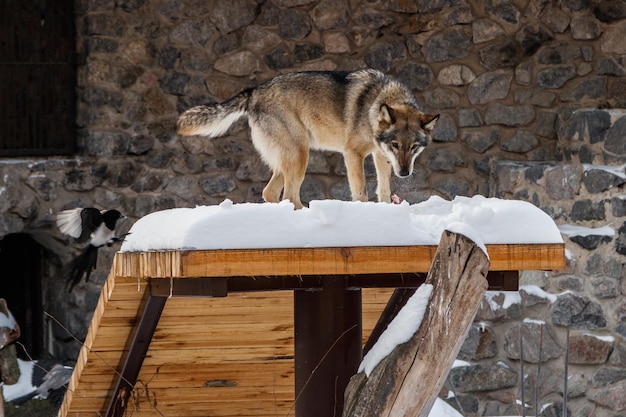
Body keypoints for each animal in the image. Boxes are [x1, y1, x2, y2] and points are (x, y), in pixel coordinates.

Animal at [176, 70, 438, 211]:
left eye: (413, 147)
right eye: (396, 145)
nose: (404, 173)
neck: (375, 106)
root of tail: (254, 91)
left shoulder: (380, 156)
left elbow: (383, 189)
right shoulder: (353, 153)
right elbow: (361, 191)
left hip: (289, 160)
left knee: (270, 193)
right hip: (300, 156)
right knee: (289, 196)